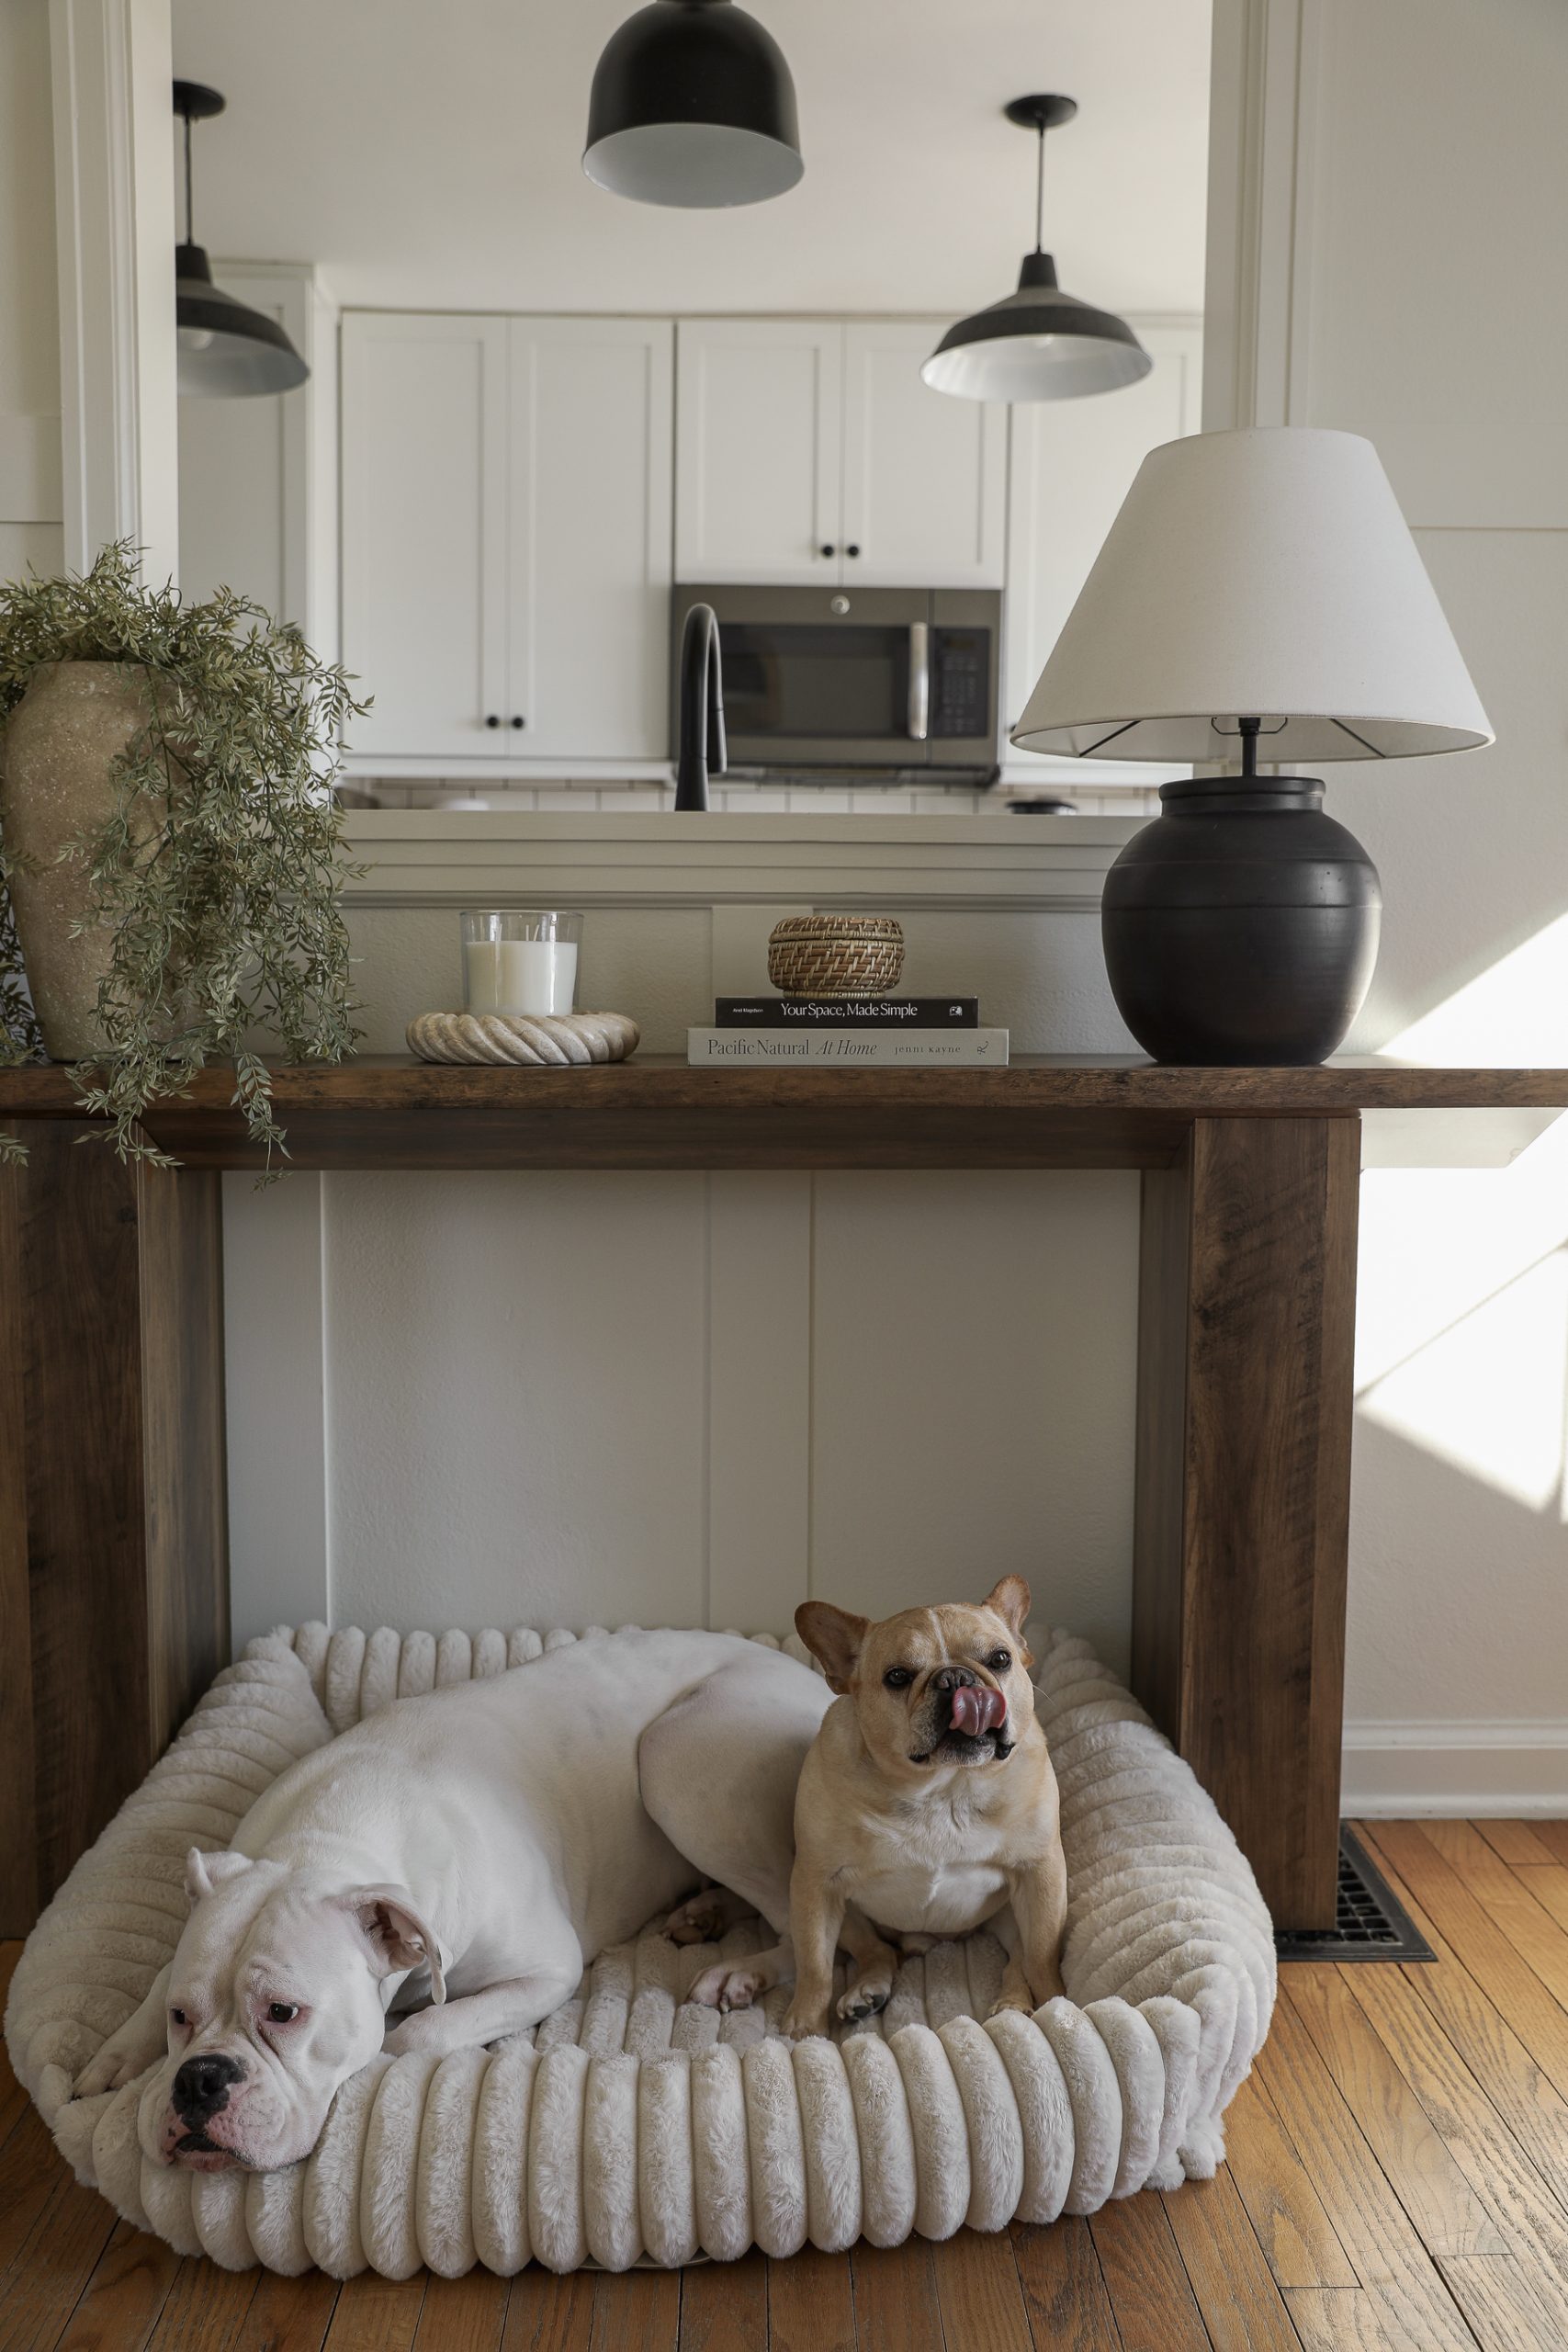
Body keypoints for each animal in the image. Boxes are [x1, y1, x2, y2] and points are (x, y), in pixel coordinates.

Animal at [70, 1636, 831, 2164]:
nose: (199, 2081)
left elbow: (417, 2032)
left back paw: (742, 1971)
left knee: (803, 1924)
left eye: (284, 2013)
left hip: (673, 1753)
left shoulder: (549, 1971)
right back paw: (702, 1913)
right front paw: (117, 2055)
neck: (327, 1843)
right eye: (180, 2017)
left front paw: (391, 2045)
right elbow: (156, 1979)